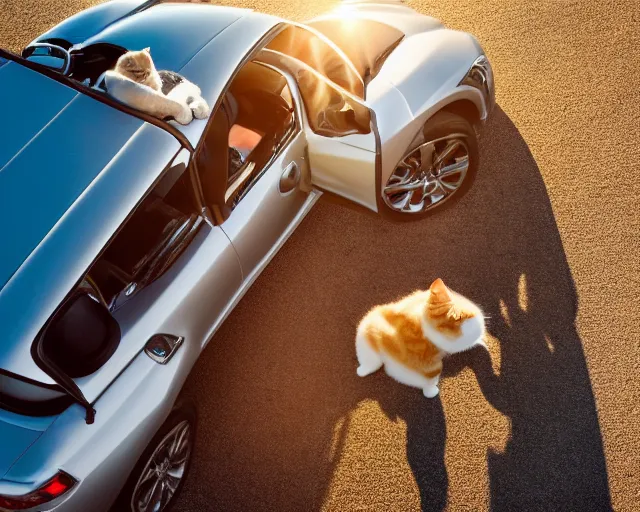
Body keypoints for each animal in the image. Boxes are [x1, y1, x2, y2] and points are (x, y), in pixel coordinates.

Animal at [358, 278, 488, 398]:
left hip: (366, 328)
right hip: (432, 371)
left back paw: (362, 370)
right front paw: (482, 342)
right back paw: (433, 391)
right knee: (428, 387)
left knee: (369, 363)